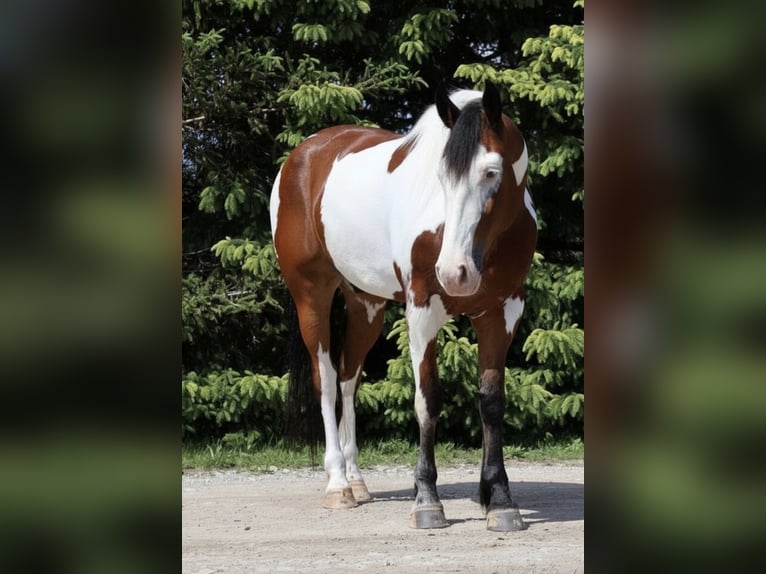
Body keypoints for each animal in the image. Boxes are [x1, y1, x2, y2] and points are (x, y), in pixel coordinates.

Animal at [269, 82, 537, 531]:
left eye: (491, 172)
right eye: (441, 178)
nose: (454, 272)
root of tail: (302, 156)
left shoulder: (502, 313)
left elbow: (492, 403)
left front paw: (499, 500)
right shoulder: (422, 312)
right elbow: (427, 400)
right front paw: (427, 500)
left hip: (366, 304)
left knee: (348, 378)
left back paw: (358, 482)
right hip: (312, 296)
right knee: (326, 378)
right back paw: (338, 485)